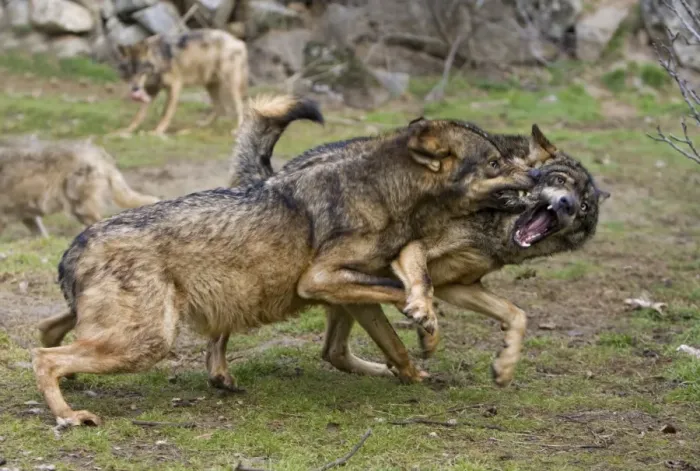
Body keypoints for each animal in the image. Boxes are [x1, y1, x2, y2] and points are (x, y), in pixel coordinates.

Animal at [33, 96, 539, 426]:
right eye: (495, 163)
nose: (537, 176)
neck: (385, 191)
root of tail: (75, 246)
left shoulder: (352, 289)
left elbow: (397, 334)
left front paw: (418, 361)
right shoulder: (320, 280)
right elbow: (403, 294)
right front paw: (425, 324)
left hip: (126, 326)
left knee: (48, 330)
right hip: (146, 341)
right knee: (43, 356)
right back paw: (69, 415)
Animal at [114, 29, 249, 136]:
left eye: (141, 71)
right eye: (130, 72)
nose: (135, 89)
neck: (159, 58)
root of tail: (239, 42)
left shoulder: (175, 86)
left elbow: (165, 113)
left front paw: (157, 132)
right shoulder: (151, 90)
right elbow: (138, 115)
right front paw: (126, 130)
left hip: (231, 86)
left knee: (241, 107)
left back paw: (238, 130)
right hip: (210, 85)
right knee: (221, 108)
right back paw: (204, 124)